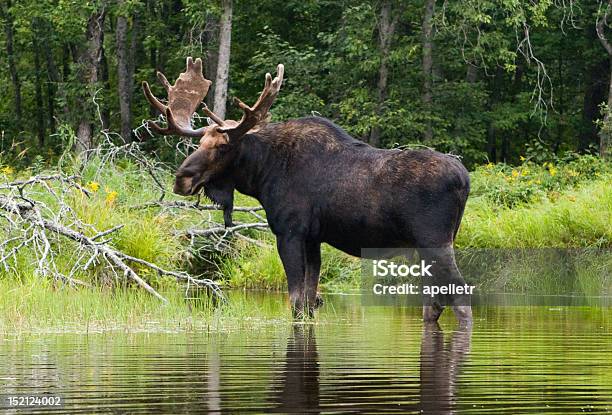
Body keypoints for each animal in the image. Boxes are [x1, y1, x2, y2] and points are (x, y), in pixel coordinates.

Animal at [142, 57, 474, 324]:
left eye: (223, 147)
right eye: (199, 143)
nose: (181, 178)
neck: (262, 174)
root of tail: (465, 180)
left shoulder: (290, 231)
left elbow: (296, 303)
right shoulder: (315, 238)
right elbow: (311, 302)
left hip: (434, 241)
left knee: (460, 298)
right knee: (433, 303)